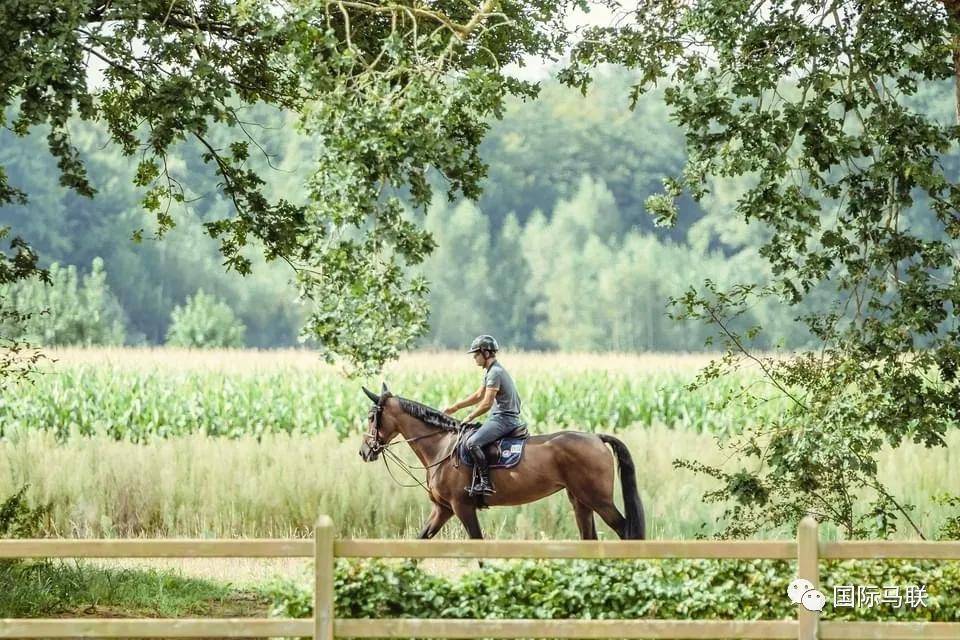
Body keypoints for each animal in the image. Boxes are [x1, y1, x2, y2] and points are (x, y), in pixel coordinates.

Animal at [358, 383, 646, 540]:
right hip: (580, 501)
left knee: (624, 531)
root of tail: (596, 437)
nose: (364, 451)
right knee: (590, 538)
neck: (441, 448)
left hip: (598, 499)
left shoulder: (462, 507)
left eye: (372, 416)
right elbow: (420, 541)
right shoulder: (443, 509)